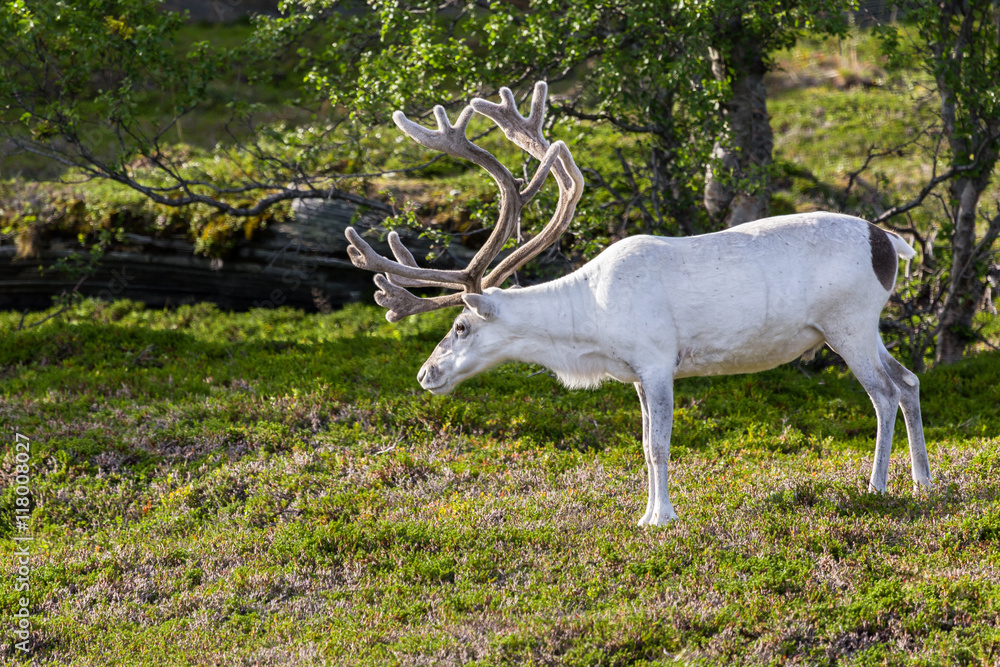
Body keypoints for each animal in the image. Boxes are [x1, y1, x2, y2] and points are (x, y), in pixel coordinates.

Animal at [344, 81, 933, 526]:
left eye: (462, 326)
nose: (425, 373)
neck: (589, 329)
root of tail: (890, 243)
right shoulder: (633, 374)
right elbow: (643, 442)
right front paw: (646, 514)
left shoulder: (656, 359)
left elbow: (657, 445)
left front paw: (663, 518)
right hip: (866, 326)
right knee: (907, 379)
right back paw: (923, 480)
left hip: (847, 322)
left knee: (883, 392)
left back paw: (879, 486)